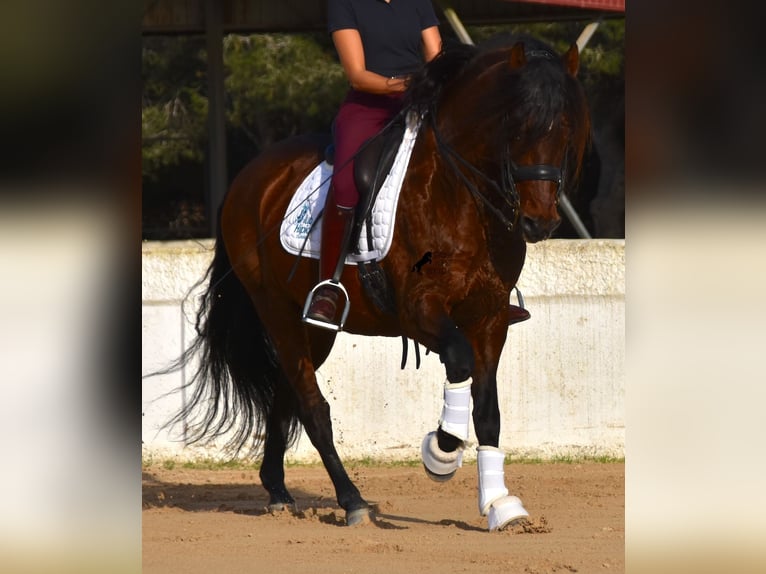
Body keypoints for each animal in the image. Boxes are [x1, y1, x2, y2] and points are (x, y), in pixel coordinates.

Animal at [165, 35, 592, 532]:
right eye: (519, 126)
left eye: (567, 129)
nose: (539, 221)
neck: (461, 195)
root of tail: (249, 176)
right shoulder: (420, 308)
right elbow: (459, 363)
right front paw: (442, 451)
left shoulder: (489, 317)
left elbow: (488, 410)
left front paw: (500, 504)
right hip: (276, 310)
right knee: (312, 407)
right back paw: (352, 500)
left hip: (313, 328)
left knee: (286, 394)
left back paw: (277, 491)